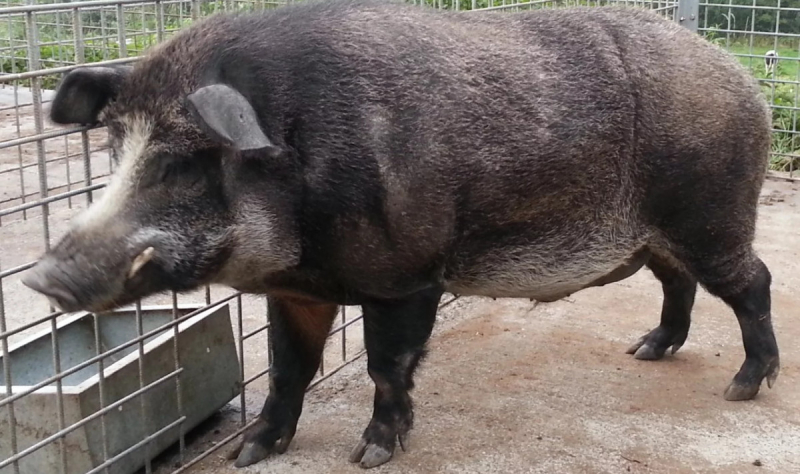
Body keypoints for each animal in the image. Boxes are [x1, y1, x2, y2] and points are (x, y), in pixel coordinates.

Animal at [22, 0, 780, 469]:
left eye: (182, 161)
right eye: (115, 146)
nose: (40, 275)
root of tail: (742, 79)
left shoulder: (406, 276)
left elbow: (387, 366)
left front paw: (371, 455)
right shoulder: (296, 290)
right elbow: (289, 369)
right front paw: (249, 453)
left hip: (712, 213)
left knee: (753, 282)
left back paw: (744, 388)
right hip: (661, 236)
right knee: (678, 282)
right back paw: (646, 351)